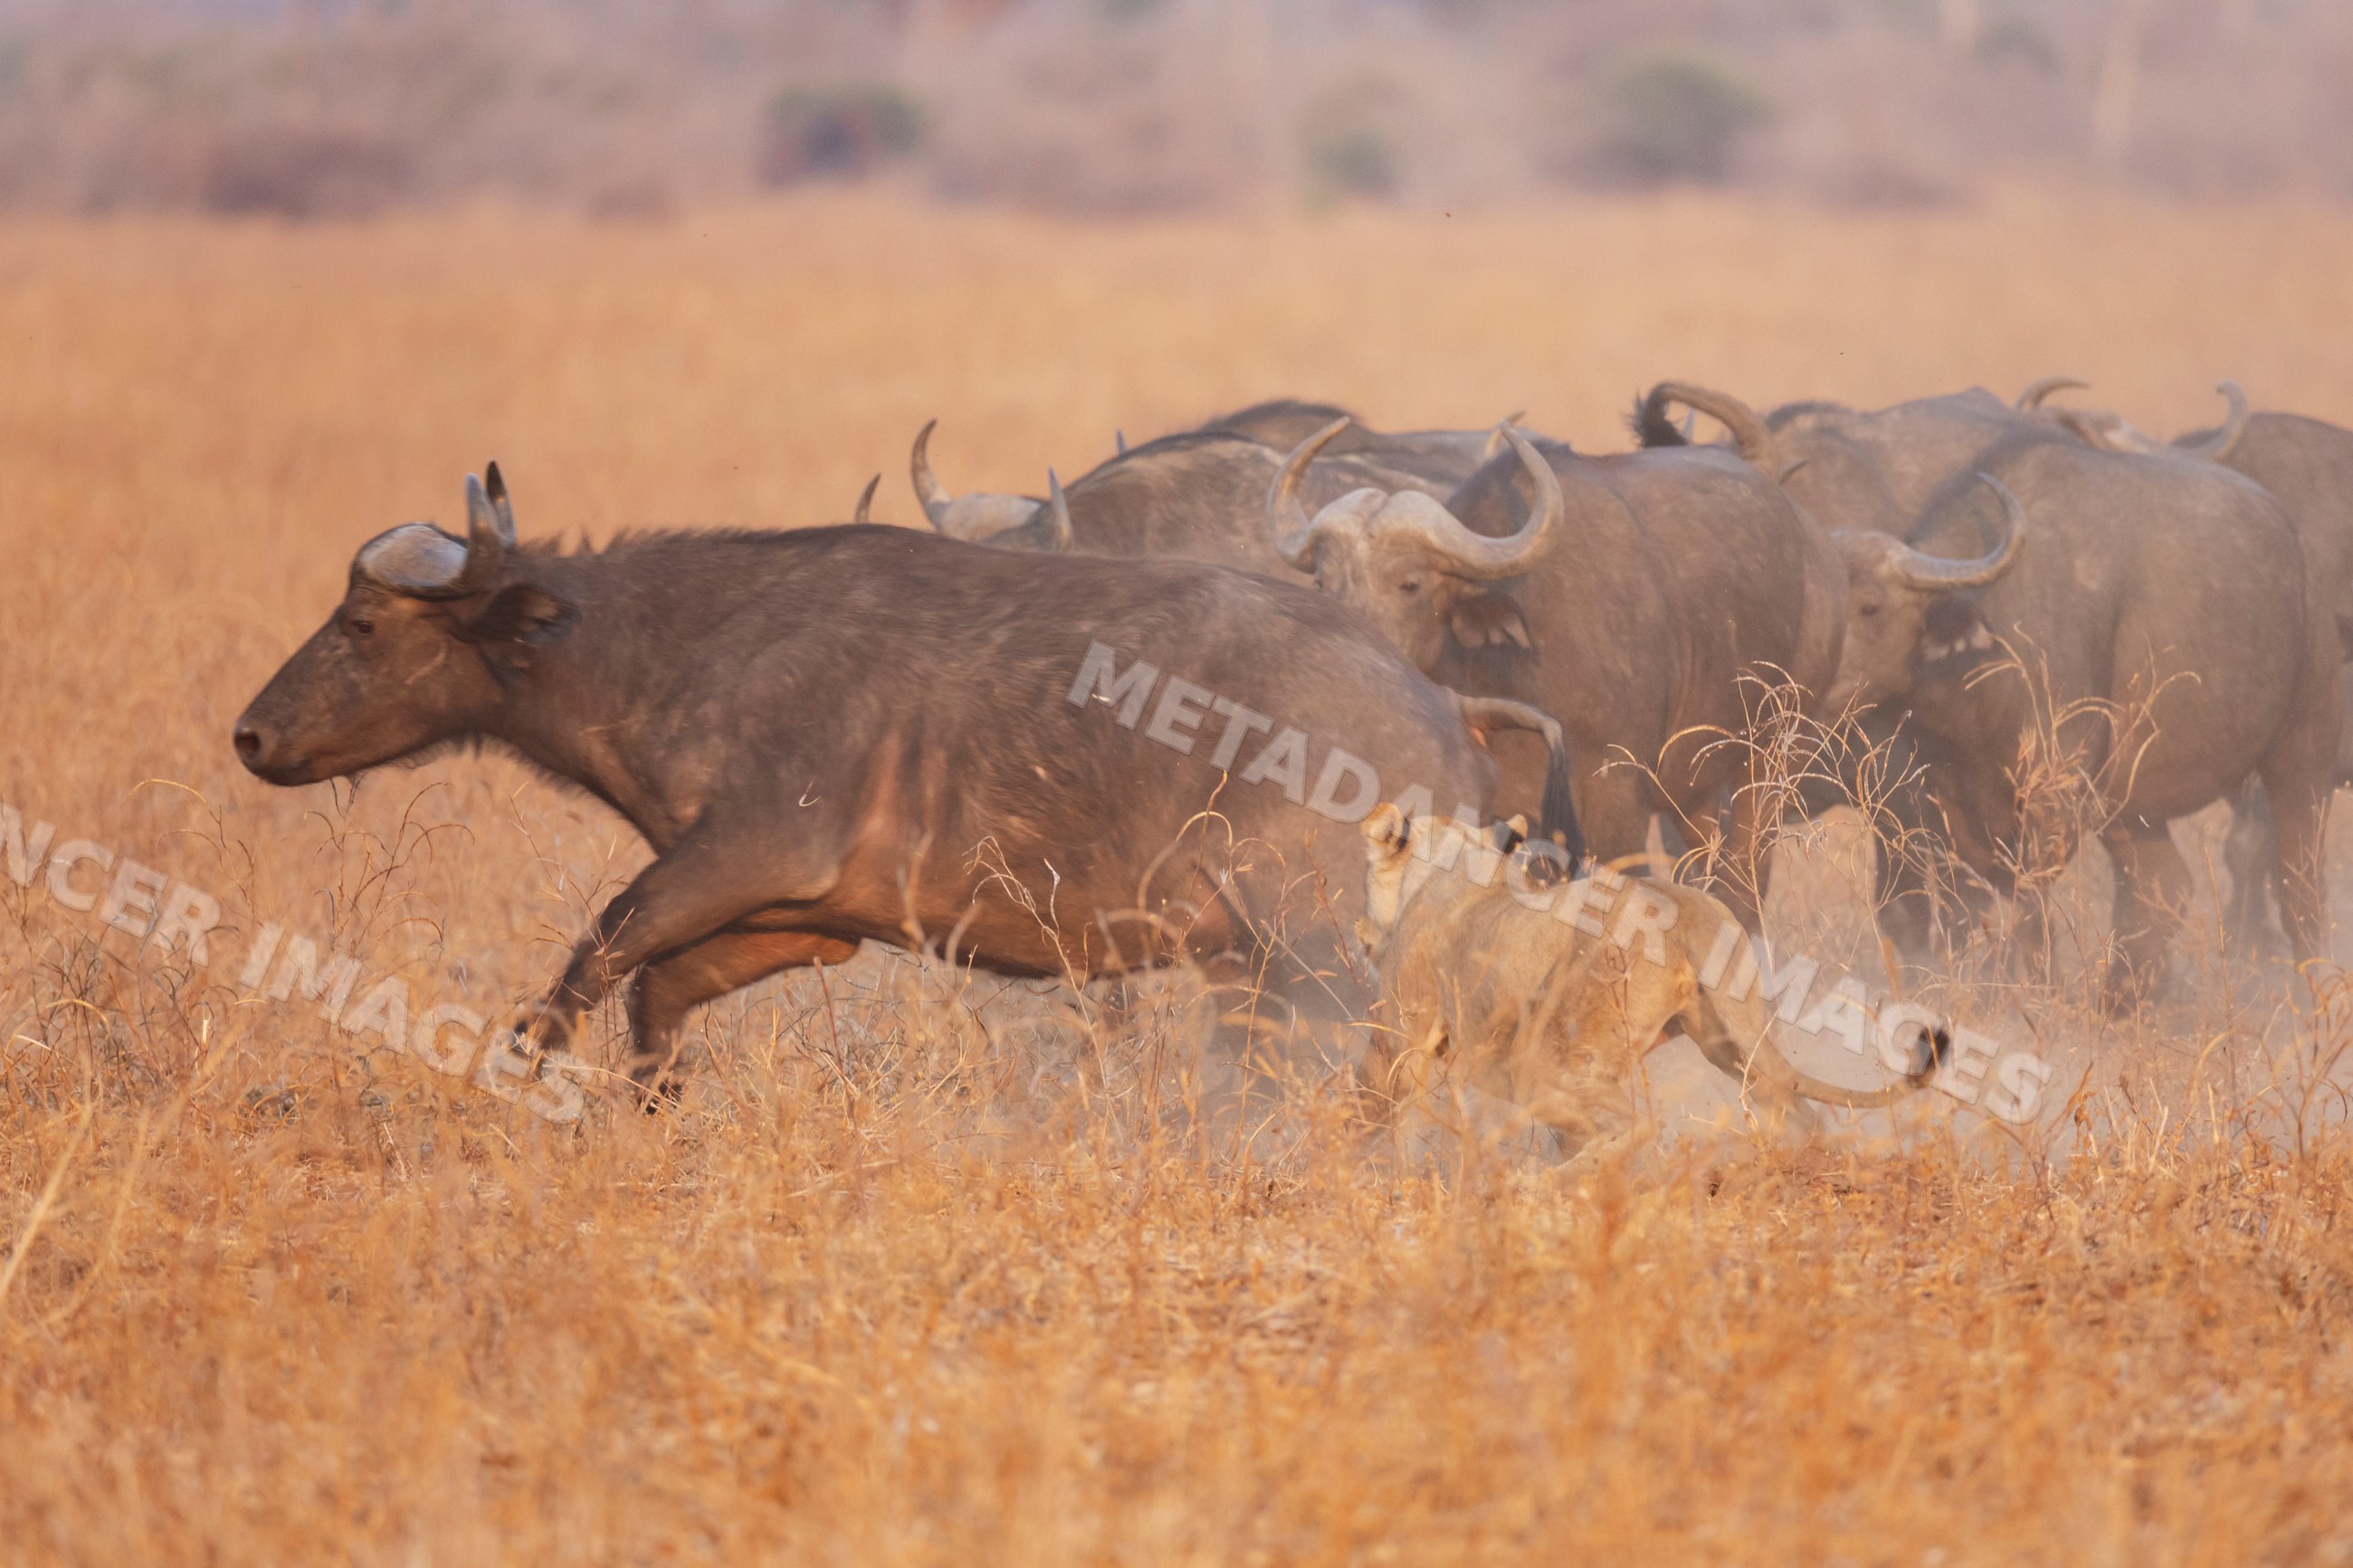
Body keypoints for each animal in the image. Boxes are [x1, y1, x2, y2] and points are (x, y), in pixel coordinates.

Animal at [1354, 804, 1946, 1169]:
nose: (1362, 931)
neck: (1454, 868)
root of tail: (1679, 906)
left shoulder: (1403, 1041)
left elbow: (1394, 1120)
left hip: (1538, 1060)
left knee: (1636, 1123)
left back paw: (1546, 1186)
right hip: (1731, 1045)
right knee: (1798, 1111)